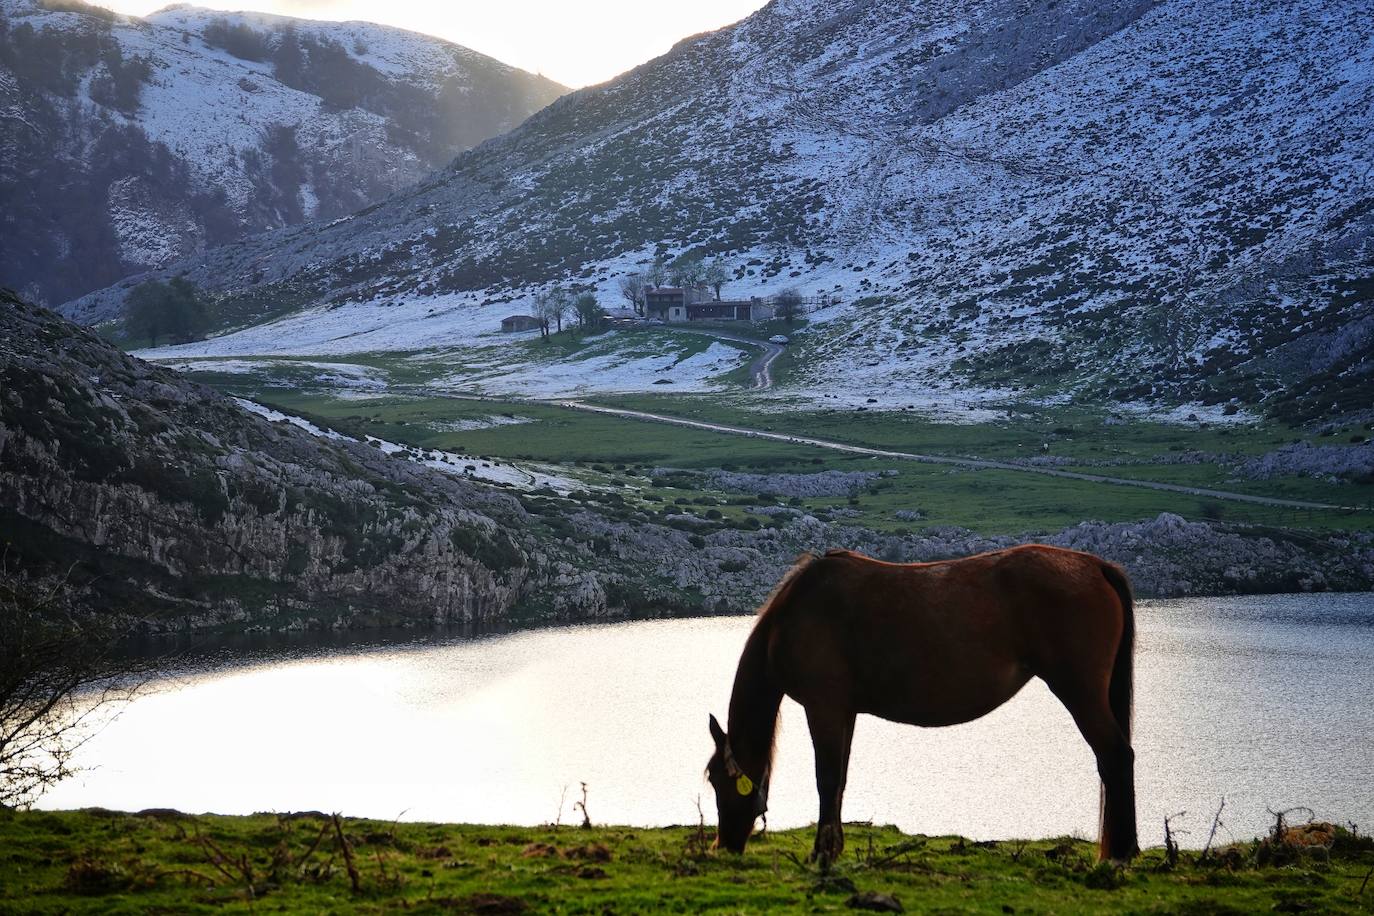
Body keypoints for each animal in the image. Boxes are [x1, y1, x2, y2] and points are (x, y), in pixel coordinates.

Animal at [708, 543, 1137, 867]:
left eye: (715, 779)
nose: (723, 846)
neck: (797, 612)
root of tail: (1096, 566)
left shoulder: (823, 707)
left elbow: (826, 779)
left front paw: (822, 853)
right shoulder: (845, 712)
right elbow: (840, 779)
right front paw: (833, 847)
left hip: (1080, 692)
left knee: (1115, 757)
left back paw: (1120, 853)